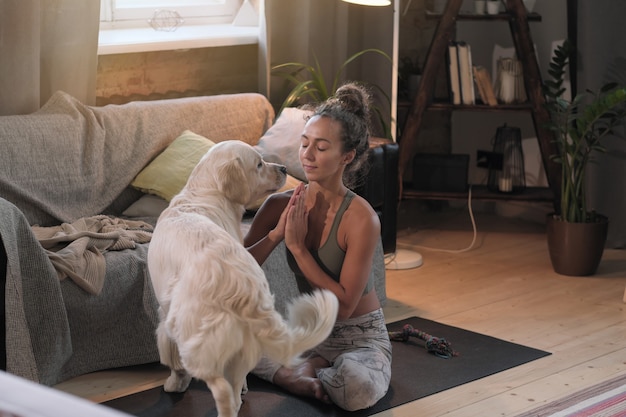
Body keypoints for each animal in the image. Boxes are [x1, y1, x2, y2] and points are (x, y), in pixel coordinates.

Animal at [146, 141, 336, 416]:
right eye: (258, 164)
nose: (283, 168)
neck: (206, 195)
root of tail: (241, 287)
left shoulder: (164, 314)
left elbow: (171, 357)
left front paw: (174, 383)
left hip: (194, 339)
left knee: (221, 388)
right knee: (234, 386)